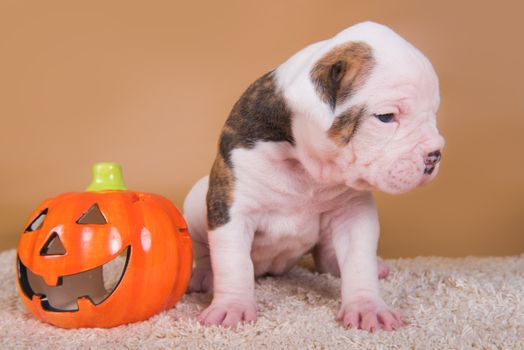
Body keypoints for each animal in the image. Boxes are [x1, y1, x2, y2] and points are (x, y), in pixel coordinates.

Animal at [182, 21, 444, 330]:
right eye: (386, 117)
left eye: (433, 113)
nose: (435, 154)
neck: (305, 166)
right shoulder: (233, 208)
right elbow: (234, 262)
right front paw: (232, 307)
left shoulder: (354, 213)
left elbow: (358, 260)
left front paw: (367, 307)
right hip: (198, 202)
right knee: (204, 250)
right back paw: (203, 275)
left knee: (329, 258)